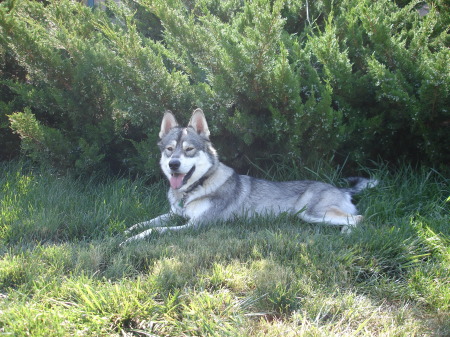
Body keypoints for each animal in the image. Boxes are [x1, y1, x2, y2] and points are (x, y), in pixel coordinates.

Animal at [121, 109, 378, 243]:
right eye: (169, 149)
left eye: (189, 150)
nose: (173, 164)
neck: (193, 191)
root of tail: (340, 188)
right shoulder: (175, 214)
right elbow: (146, 222)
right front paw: (126, 230)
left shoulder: (196, 225)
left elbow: (156, 230)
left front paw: (130, 240)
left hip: (311, 213)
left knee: (360, 218)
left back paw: (347, 232)